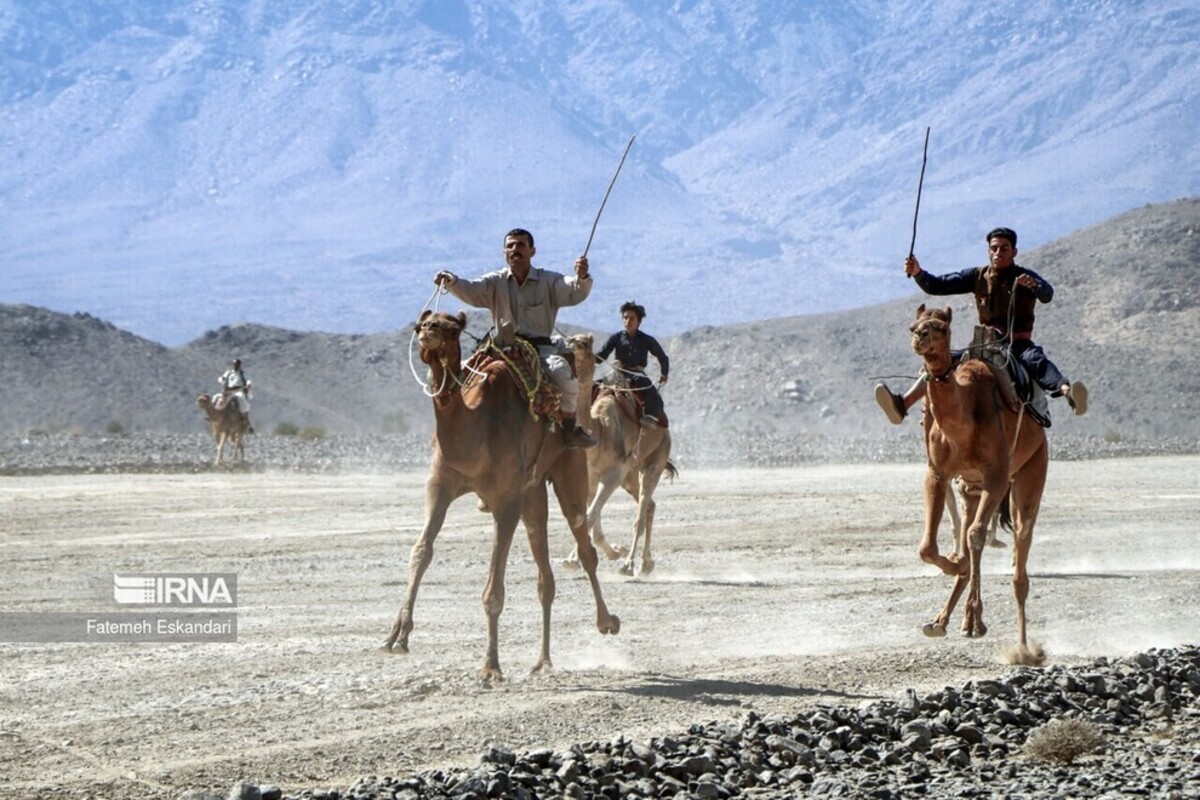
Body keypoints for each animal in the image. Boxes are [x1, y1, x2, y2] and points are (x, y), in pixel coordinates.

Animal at [386, 309, 619, 681]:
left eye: (453, 329)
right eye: (422, 322)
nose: (428, 331)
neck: (475, 426)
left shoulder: (506, 500)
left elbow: (493, 587)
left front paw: (491, 666)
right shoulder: (440, 485)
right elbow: (421, 551)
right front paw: (397, 635)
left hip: (568, 468)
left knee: (584, 544)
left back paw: (607, 622)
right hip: (533, 491)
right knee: (544, 573)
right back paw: (543, 661)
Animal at [568, 345, 681, 575]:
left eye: (585, 347)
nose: (573, 346)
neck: (600, 428)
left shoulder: (613, 474)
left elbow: (590, 516)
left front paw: (574, 559)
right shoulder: (591, 475)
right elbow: (588, 517)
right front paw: (612, 551)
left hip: (654, 463)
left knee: (641, 514)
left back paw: (629, 565)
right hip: (630, 475)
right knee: (649, 506)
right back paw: (646, 563)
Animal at [907, 303, 1051, 666]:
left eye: (942, 327)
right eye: (913, 326)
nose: (921, 337)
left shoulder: (997, 477)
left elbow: (974, 536)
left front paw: (975, 622)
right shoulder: (937, 473)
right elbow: (927, 547)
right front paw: (956, 568)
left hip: (1032, 469)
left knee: (1019, 551)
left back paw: (1024, 649)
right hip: (971, 488)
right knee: (971, 529)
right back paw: (940, 621)